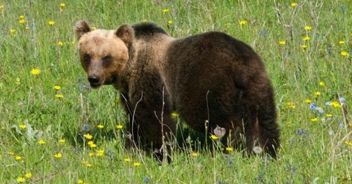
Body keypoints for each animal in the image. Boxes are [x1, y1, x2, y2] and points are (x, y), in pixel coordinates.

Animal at [75, 19, 280, 158]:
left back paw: (230, 148)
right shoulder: (129, 93)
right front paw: (133, 146)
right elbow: (134, 118)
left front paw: (160, 152)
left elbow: (154, 118)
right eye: (87, 55)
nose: (94, 78)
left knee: (221, 120)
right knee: (264, 120)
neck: (129, 68)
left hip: (206, 84)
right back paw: (266, 150)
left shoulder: (151, 79)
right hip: (257, 84)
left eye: (106, 56)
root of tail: (240, 64)